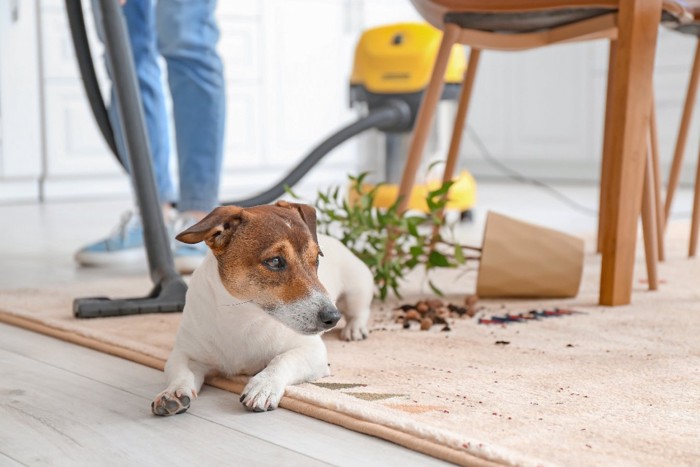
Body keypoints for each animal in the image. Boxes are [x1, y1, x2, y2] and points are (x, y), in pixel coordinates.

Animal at [151, 201, 374, 416]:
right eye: (274, 261)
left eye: (317, 259)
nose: (333, 317)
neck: (243, 316)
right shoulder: (186, 354)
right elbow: (182, 372)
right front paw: (172, 393)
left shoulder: (312, 351)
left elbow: (282, 360)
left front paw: (263, 386)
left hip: (356, 288)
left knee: (360, 311)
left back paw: (354, 329)